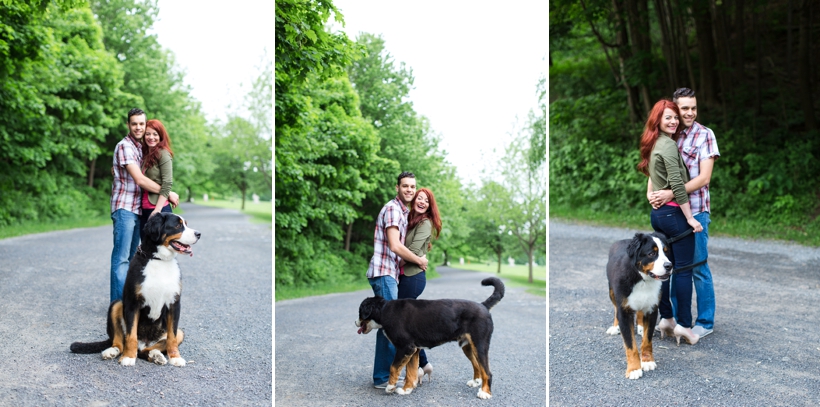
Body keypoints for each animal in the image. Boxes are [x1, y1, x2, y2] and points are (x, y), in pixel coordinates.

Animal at [69, 212, 199, 368]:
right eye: (178, 225)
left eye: (185, 224)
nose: (199, 234)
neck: (158, 260)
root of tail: (145, 342)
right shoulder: (133, 303)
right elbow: (131, 336)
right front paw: (128, 357)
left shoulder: (174, 303)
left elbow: (172, 338)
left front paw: (175, 358)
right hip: (116, 305)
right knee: (120, 342)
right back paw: (112, 351)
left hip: (179, 332)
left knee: (148, 349)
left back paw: (155, 355)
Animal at [354, 278, 502, 398]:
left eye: (360, 312)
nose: (355, 322)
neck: (385, 310)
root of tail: (483, 305)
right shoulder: (414, 349)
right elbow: (411, 372)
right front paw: (407, 389)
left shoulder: (405, 347)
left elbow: (394, 367)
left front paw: (391, 387)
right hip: (468, 347)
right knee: (477, 365)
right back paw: (476, 382)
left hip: (480, 345)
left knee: (487, 372)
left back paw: (485, 393)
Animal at [604, 233, 672, 380]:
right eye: (652, 253)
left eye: (666, 251)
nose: (669, 265)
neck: (642, 280)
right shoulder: (624, 311)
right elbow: (631, 345)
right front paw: (634, 368)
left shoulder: (652, 309)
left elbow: (647, 341)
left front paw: (647, 361)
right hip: (612, 292)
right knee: (615, 309)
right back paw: (615, 327)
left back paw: (640, 326)